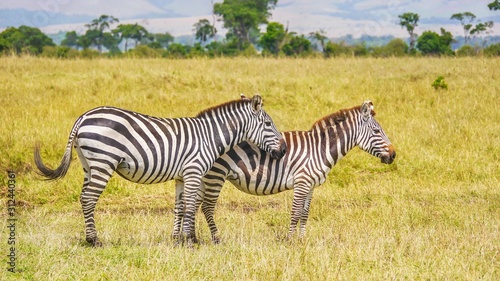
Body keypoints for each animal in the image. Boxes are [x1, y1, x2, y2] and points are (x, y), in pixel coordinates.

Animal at [34, 94, 286, 245]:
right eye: (268, 124)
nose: (283, 150)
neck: (209, 136)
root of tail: (84, 116)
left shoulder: (181, 176)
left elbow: (179, 207)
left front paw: (176, 239)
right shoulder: (194, 171)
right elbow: (191, 205)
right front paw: (191, 239)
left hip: (89, 164)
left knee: (83, 196)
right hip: (104, 161)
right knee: (88, 199)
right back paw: (94, 240)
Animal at [195, 99, 394, 242]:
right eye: (376, 131)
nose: (393, 155)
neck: (319, 149)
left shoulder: (311, 185)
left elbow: (305, 214)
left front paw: (302, 239)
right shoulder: (302, 182)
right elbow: (296, 212)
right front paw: (290, 240)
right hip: (215, 175)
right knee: (207, 207)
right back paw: (217, 239)